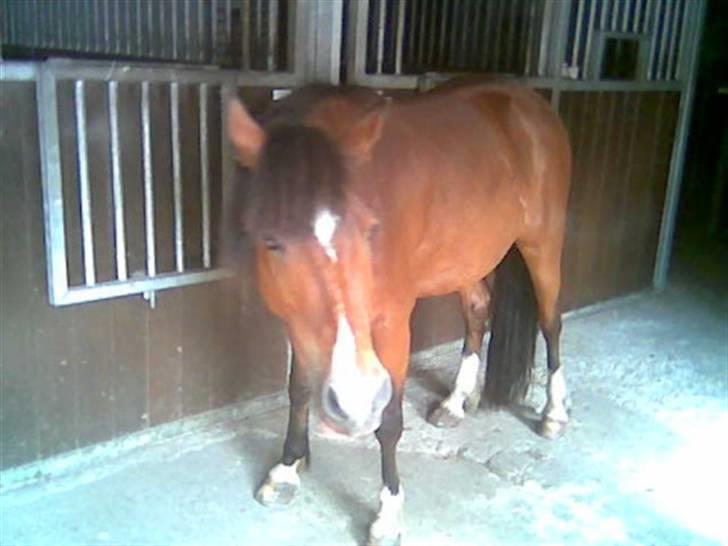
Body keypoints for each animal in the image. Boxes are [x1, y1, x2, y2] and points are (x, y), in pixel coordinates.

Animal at [226, 77, 571, 546]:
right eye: (271, 241)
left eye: (370, 229)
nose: (353, 401)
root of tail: (529, 100)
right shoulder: (300, 325)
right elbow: (298, 388)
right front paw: (287, 469)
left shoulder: (390, 325)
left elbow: (389, 420)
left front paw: (388, 514)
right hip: (466, 259)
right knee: (478, 311)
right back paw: (456, 402)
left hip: (543, 243)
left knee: (551, 322)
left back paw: (554, 413)